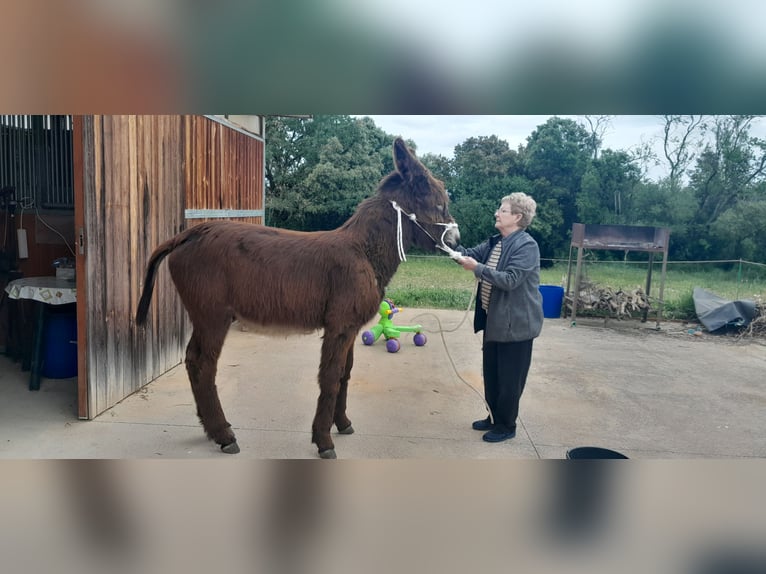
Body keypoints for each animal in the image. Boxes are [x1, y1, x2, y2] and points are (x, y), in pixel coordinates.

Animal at [135, 137, 460, 458]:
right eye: (439, 203)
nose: (457, 242)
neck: (364, 251)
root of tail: (187, 235)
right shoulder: (339, 325)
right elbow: (330, 377)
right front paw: (324, 441)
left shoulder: (351, 327)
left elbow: (345, 374)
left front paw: (343, 423)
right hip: (212, 314)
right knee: (203, 364)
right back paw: (225, 436)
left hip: (204, 315)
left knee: (192, 359)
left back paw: (211, 429)